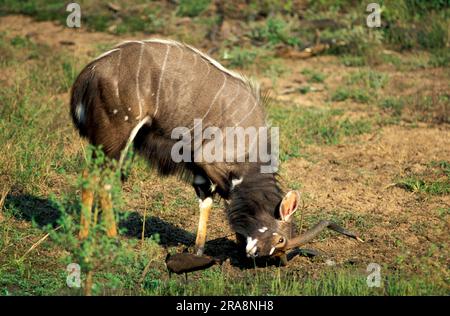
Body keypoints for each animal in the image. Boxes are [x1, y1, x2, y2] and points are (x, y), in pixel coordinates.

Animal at [70, 38, 362, 262]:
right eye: (280, 240)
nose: (264, 256)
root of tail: (87, 74)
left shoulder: (196, 167)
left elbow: (206, 201)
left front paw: (199, 250)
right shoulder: (208, 160)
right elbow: (229, 198)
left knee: (90, 175)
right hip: (116, 137)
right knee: (100, 178)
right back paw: (105, 238)